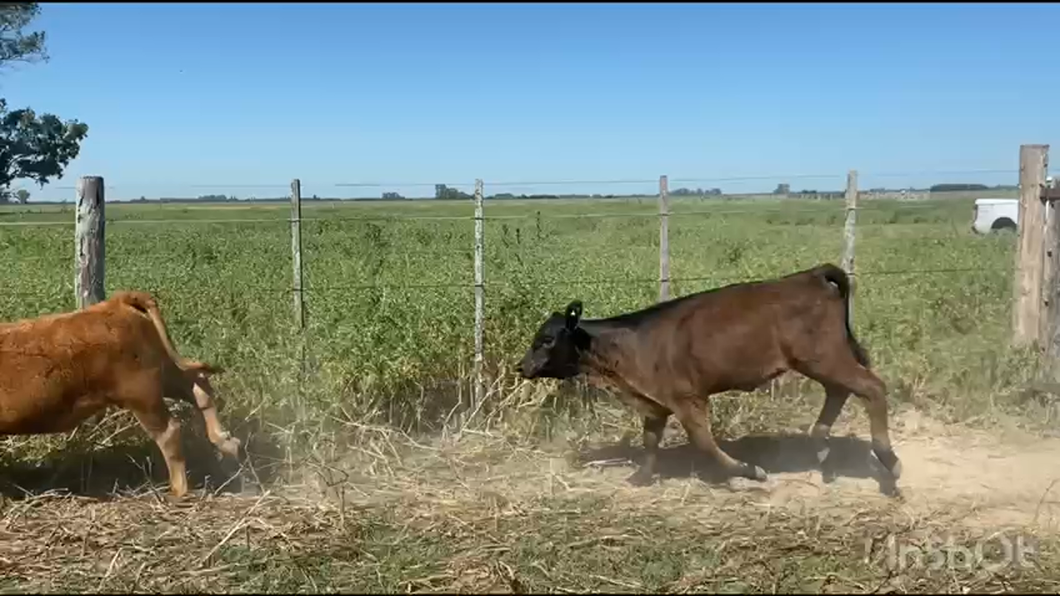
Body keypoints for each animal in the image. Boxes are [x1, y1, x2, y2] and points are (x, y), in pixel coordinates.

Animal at [0, 290, 241, 496]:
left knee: (169, 430)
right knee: (198, 386)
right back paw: (226, 442)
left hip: (142, 393)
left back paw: (178, 490)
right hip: (161, 374)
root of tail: (117, 302)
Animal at [517, 263, 898, 492]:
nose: (521, 367)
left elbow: (705, 443)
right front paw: (641, 477)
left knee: (872, 388)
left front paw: (749, 470)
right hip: (823, 362)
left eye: (546, 339)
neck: (631, 344)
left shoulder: (688, 399)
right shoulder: (655, 403)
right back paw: (822, 451)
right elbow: (650, 441)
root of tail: (811, 275)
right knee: (840, 392)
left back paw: (888, 462)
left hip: (825, 358)